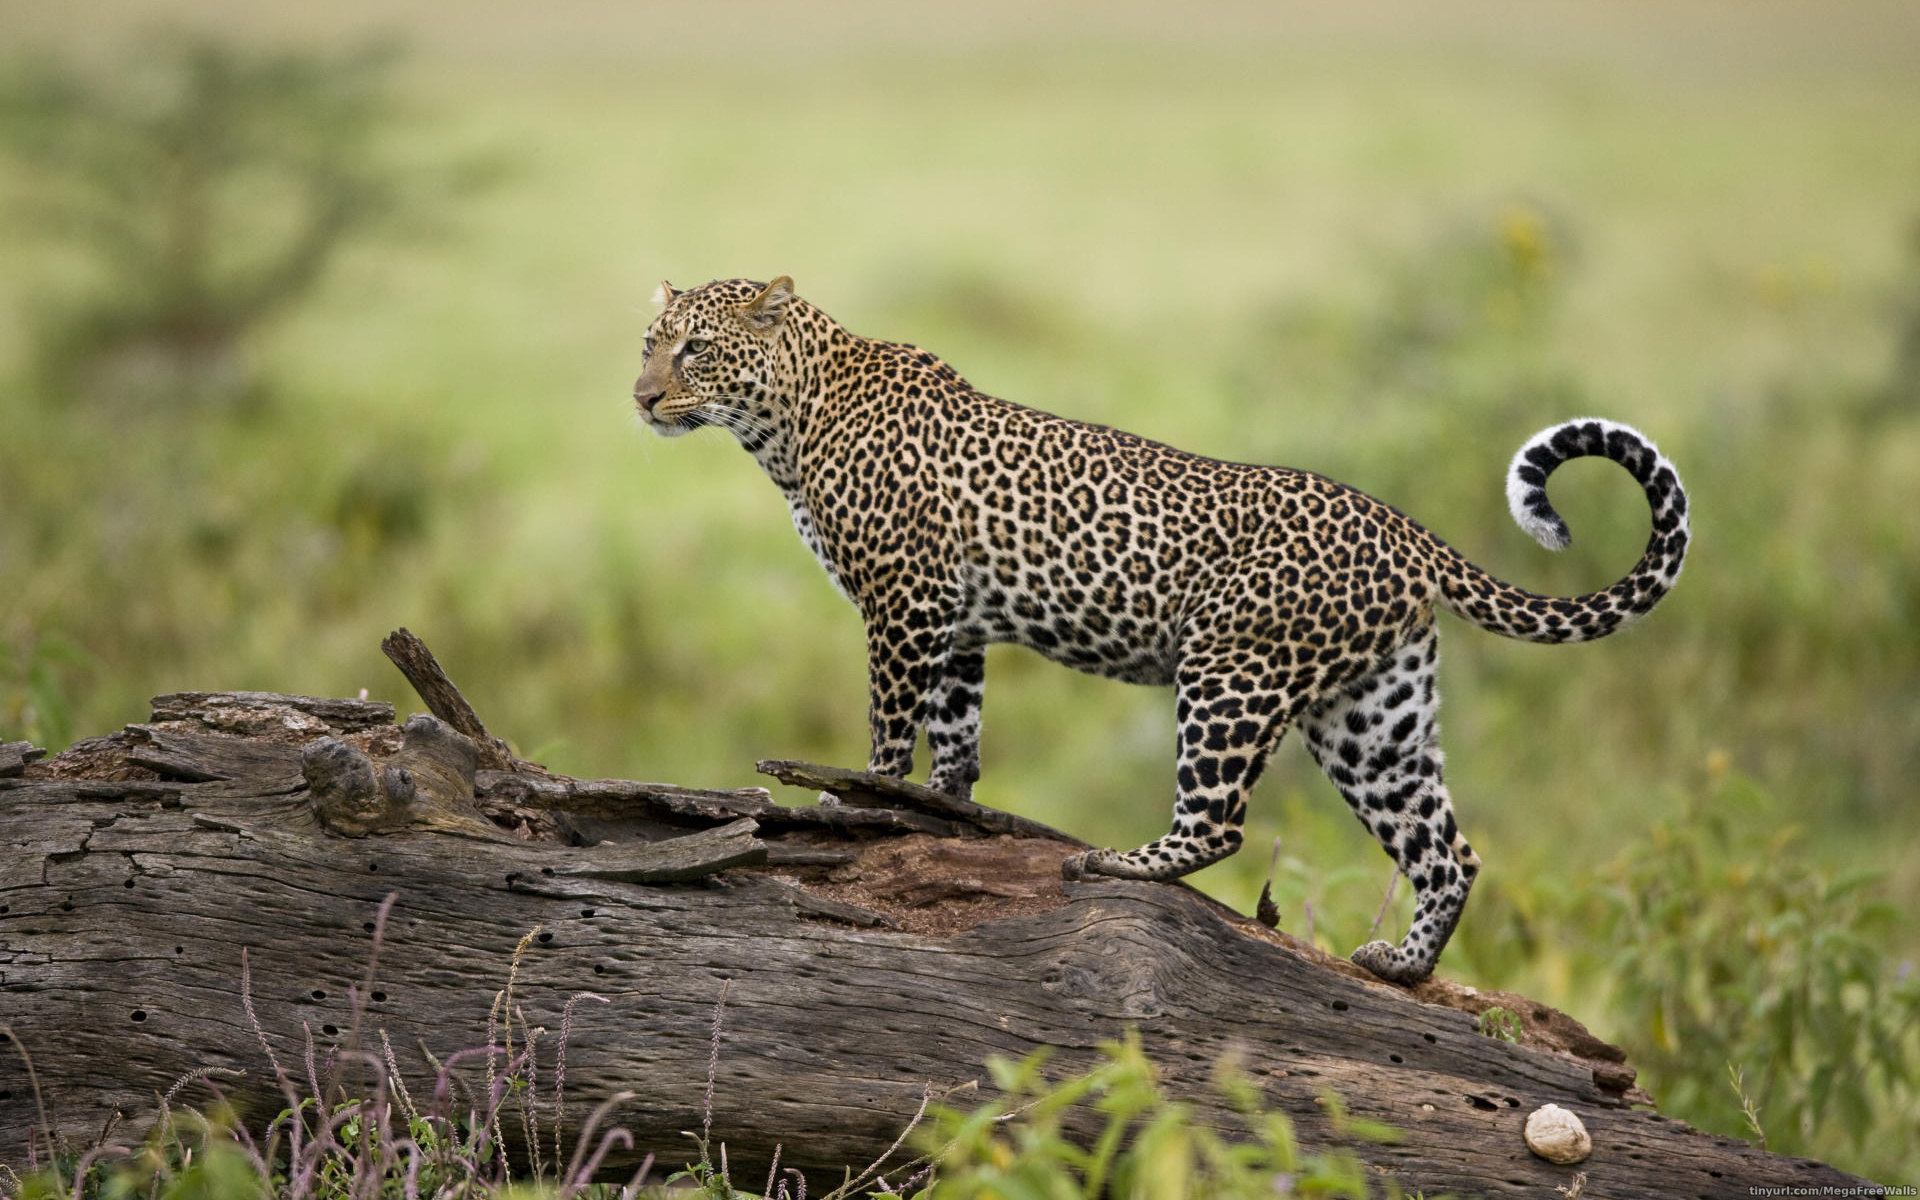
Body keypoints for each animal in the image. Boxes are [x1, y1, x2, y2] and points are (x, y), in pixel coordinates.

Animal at [629, 274, 1681, 983]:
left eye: (695, 350)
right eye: (648, 342)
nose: (641, 398)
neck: (784, 422)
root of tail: (1407, 530)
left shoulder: (902, 602)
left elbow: (891, 727)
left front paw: (852, 806)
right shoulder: (956, 623)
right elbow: (957, 737)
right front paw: (940, 808)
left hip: (1229, 671)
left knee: (1219, 823)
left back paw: (1119, 861)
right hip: (1372, 718)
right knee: (1446, 849)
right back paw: (1404, 965)